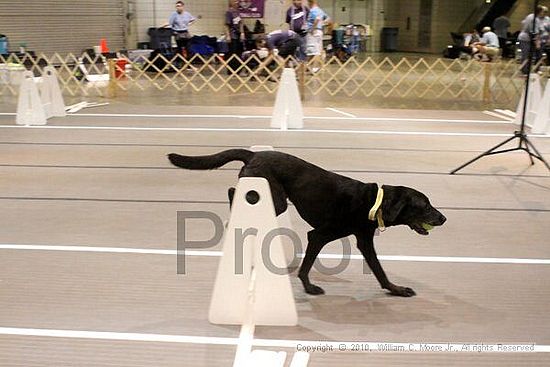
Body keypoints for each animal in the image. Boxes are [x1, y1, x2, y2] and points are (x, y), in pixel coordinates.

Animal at [169, 151, 448, 298]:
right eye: (425, 205)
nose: (443, 218)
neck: (372, 201)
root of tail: (254, 153)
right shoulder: (319, 235)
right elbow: (306, 265)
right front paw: (309, 287)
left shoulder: (364, 241)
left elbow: (379, 270)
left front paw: (395, 289)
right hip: (274, 198)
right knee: (233, 191)